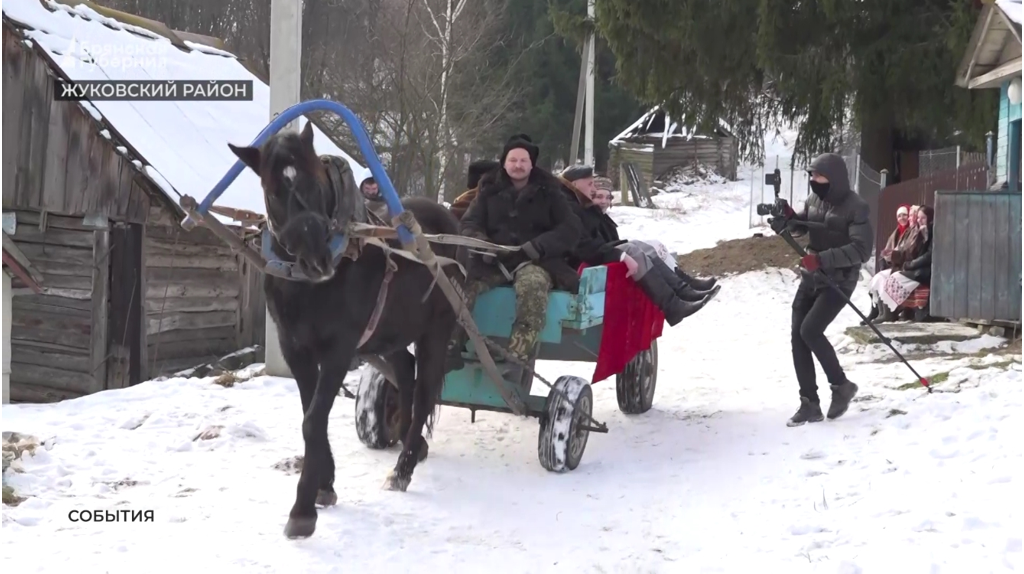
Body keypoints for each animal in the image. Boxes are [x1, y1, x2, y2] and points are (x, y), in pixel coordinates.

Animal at [230, 119, 462, 536]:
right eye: (272, 191)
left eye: (315, 182)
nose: (317, 260)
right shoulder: (295, 348)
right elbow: (311, 416)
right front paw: (325, 486)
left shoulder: (339, 349)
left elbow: (313, 420)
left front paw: (302, 510)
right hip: (389, 332)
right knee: (405, 372)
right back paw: (411, 441)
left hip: (436, 330)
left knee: (422, 394)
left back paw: (402, 469)